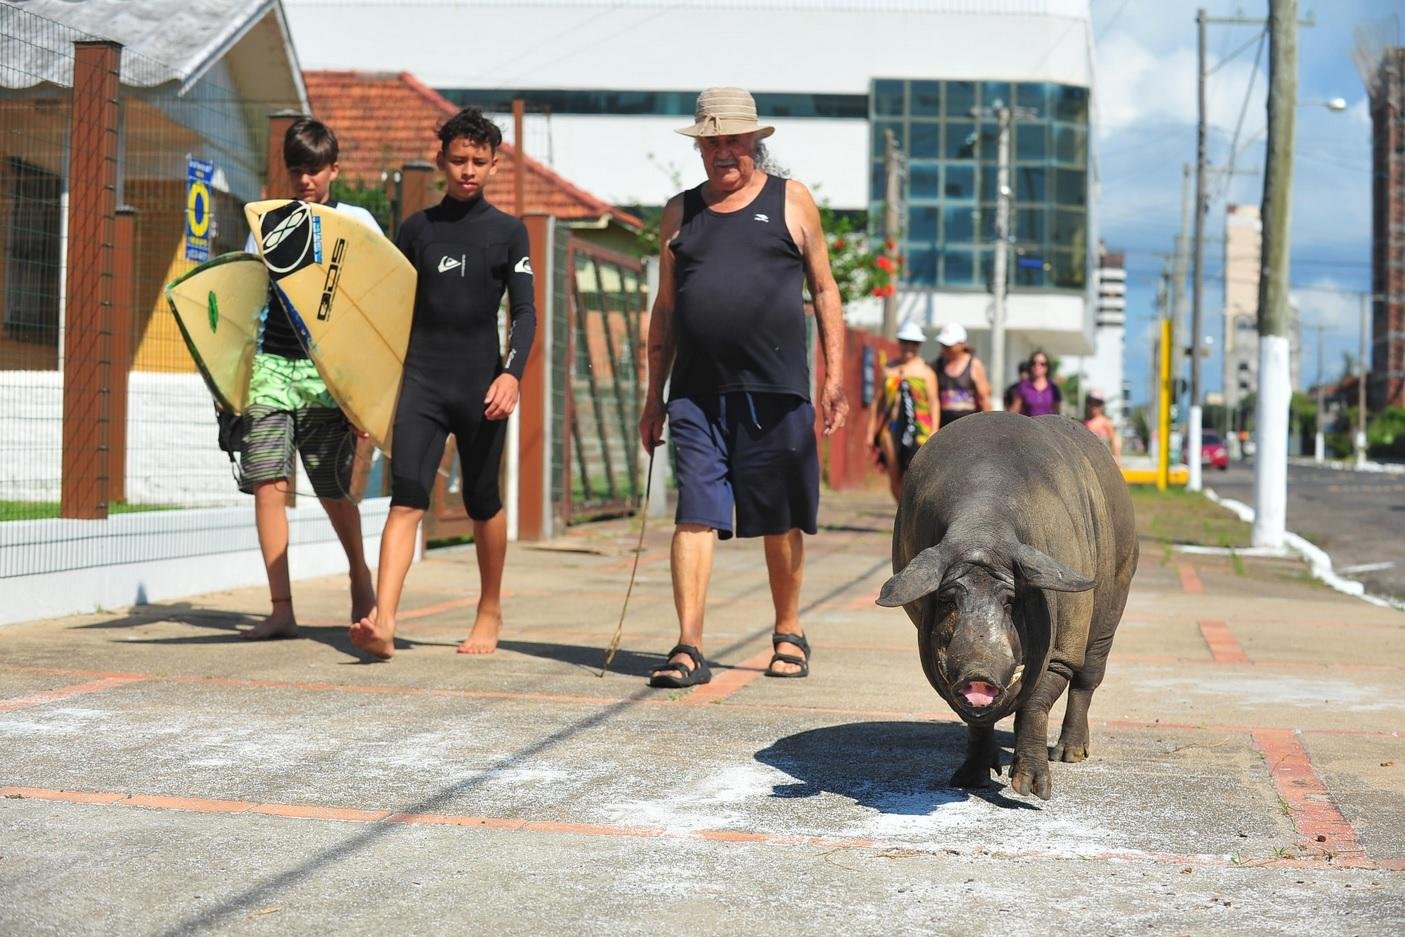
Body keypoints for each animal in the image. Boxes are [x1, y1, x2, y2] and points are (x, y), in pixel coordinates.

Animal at [876, 412, 1137, 800]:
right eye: (948, 599)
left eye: (1011, 600)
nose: (978, 674)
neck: (983, 528)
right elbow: (973, 719)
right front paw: (969, 780)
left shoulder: (1063, 648)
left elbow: (1037, 702)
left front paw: (1031, 791)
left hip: (1117, 590)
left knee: (1087, 678)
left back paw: (1069, 754)